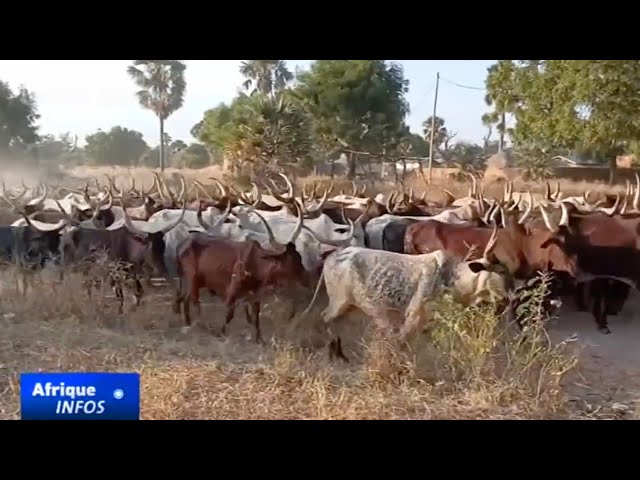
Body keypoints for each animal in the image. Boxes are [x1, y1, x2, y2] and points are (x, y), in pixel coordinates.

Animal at [298, 221, 508, 360]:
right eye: (498, 271)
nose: (506, 299)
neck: (452, 276)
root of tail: (334, 254)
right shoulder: (413, 316)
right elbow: (402, 344)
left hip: (349, 306)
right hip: (338, 302)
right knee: (325, 319)